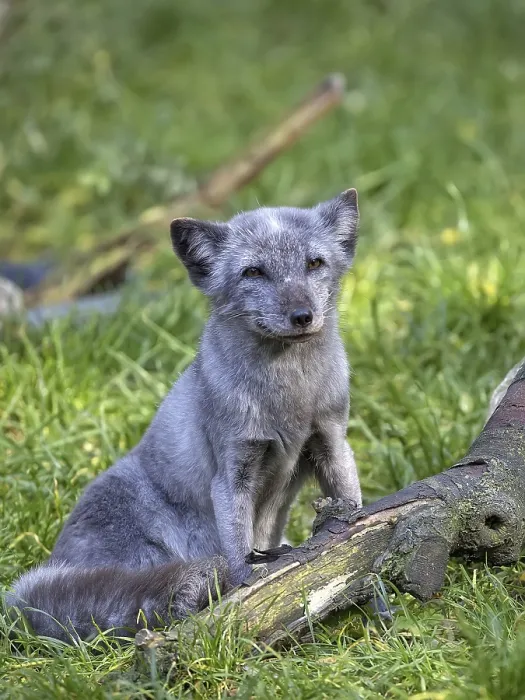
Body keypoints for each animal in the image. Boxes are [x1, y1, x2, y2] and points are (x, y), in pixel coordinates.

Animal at [6, 189, 362, 642]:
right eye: (253, 272)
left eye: (314, 263)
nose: (302, 316)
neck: (290, 402)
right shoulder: (231, 473)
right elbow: (239, 554)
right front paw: (252, 588)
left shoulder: (330, 442)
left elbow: (352, 504)